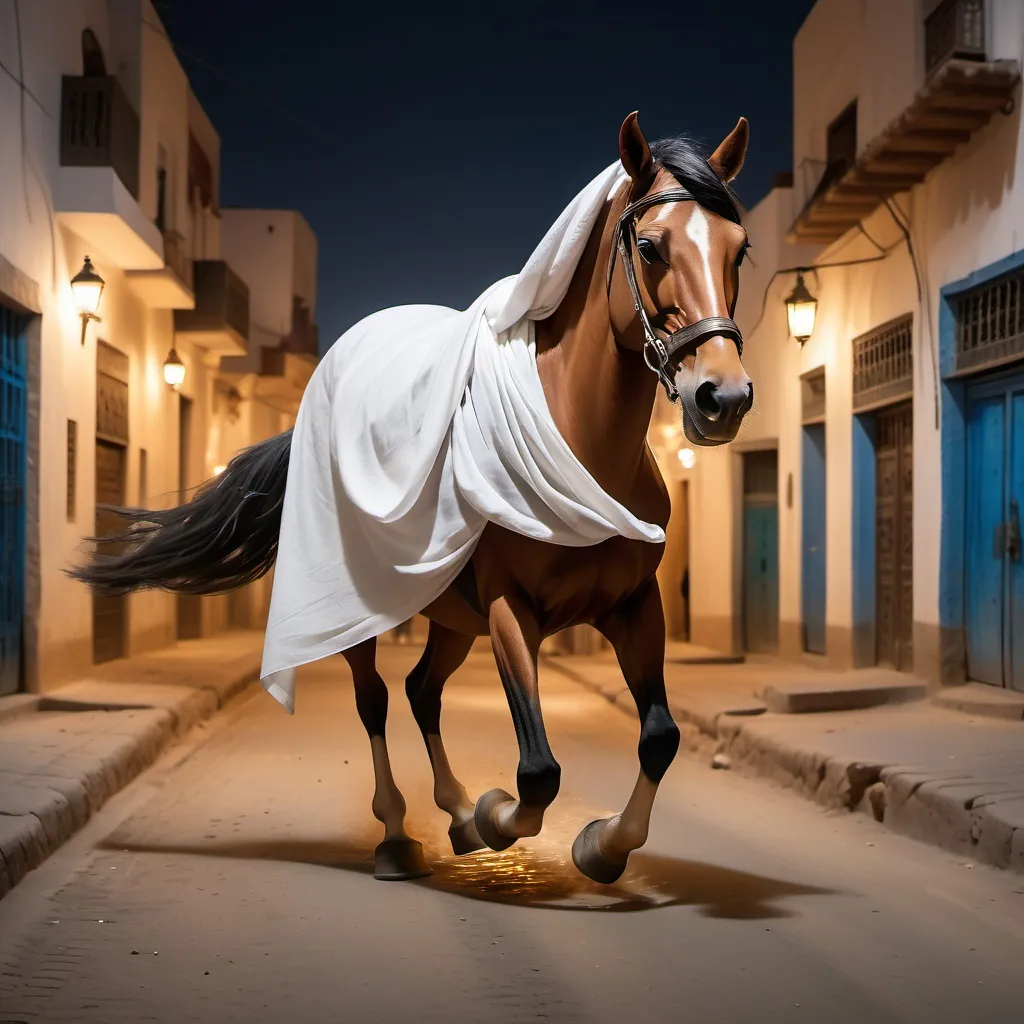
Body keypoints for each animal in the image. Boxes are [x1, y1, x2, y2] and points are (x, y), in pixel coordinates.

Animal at [74, 110, 753, 880]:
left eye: (739, 250)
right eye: (648, 246)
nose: (722, 396)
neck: (581, 442)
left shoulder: (635, 606)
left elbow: (659, 736)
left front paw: (602, 846)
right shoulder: (510, 608)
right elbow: (537, 772)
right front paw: (496, 817)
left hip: (450, 614)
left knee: (422, 691)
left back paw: (452, 809)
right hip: (367, 608)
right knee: (375, 699)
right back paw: (401, 832)